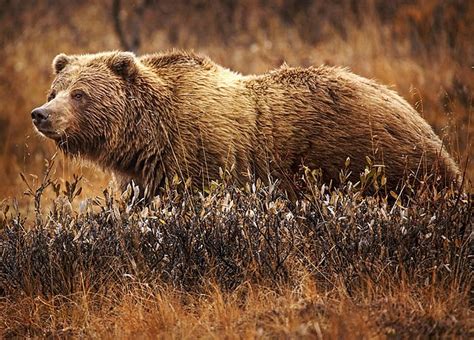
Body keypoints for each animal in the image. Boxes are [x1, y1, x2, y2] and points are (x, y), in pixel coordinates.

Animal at [30, 51, 460, 197]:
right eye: (55, 90)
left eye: (80, 94)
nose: (41, 114)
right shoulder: (146, 175)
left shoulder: (202, 156)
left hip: (374, 159)